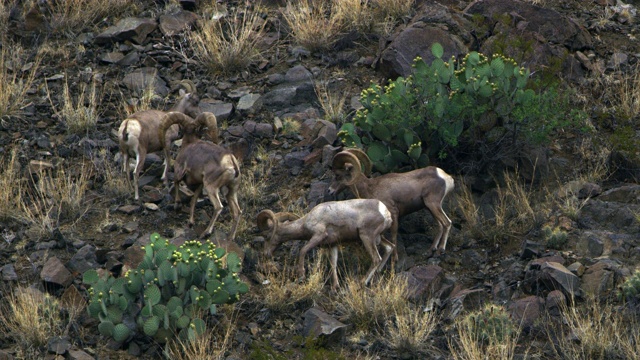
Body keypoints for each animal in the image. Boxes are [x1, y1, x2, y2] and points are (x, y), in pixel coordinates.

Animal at [159, 109, 241, 239]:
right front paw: (191, 222)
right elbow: (193, 200)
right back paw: (230, 237)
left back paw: (206, 232)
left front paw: (177, 205)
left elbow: (176, 183)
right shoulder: (199, 184)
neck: (189, 143)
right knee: (237, 212)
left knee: (218, 207)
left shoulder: (179, 172)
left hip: (211, 187)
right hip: (231, 191)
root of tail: (231, 162)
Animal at [258, 200, 396, 290]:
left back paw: (362, 282)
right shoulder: (332, 245)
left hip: (366, 236)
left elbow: (303, 250)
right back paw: (378, 273)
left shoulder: (318, 236)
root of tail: (385, 212)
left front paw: (301, 275)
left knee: (376, 258)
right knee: (390, 247)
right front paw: (336, 287)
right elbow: (333, 264)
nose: (266, 254)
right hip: (378, 238)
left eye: (267, 236)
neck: (305, 223)